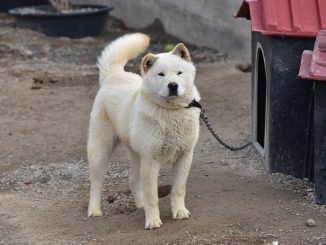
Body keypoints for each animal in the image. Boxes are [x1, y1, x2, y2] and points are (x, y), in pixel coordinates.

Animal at [88, 32, 202, 230]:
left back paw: (139, 206)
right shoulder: (151, 160)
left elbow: (178, 189)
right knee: (96, 182)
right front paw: (153, 221)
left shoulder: (184, 156)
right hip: (100, 151)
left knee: (133, 179)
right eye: (161, 74)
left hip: (135, 153)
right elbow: (152, 197)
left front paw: (179, 212)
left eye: (179, 73)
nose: (173, 85)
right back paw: (94, 211)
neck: (171, 112)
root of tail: (114, 75)